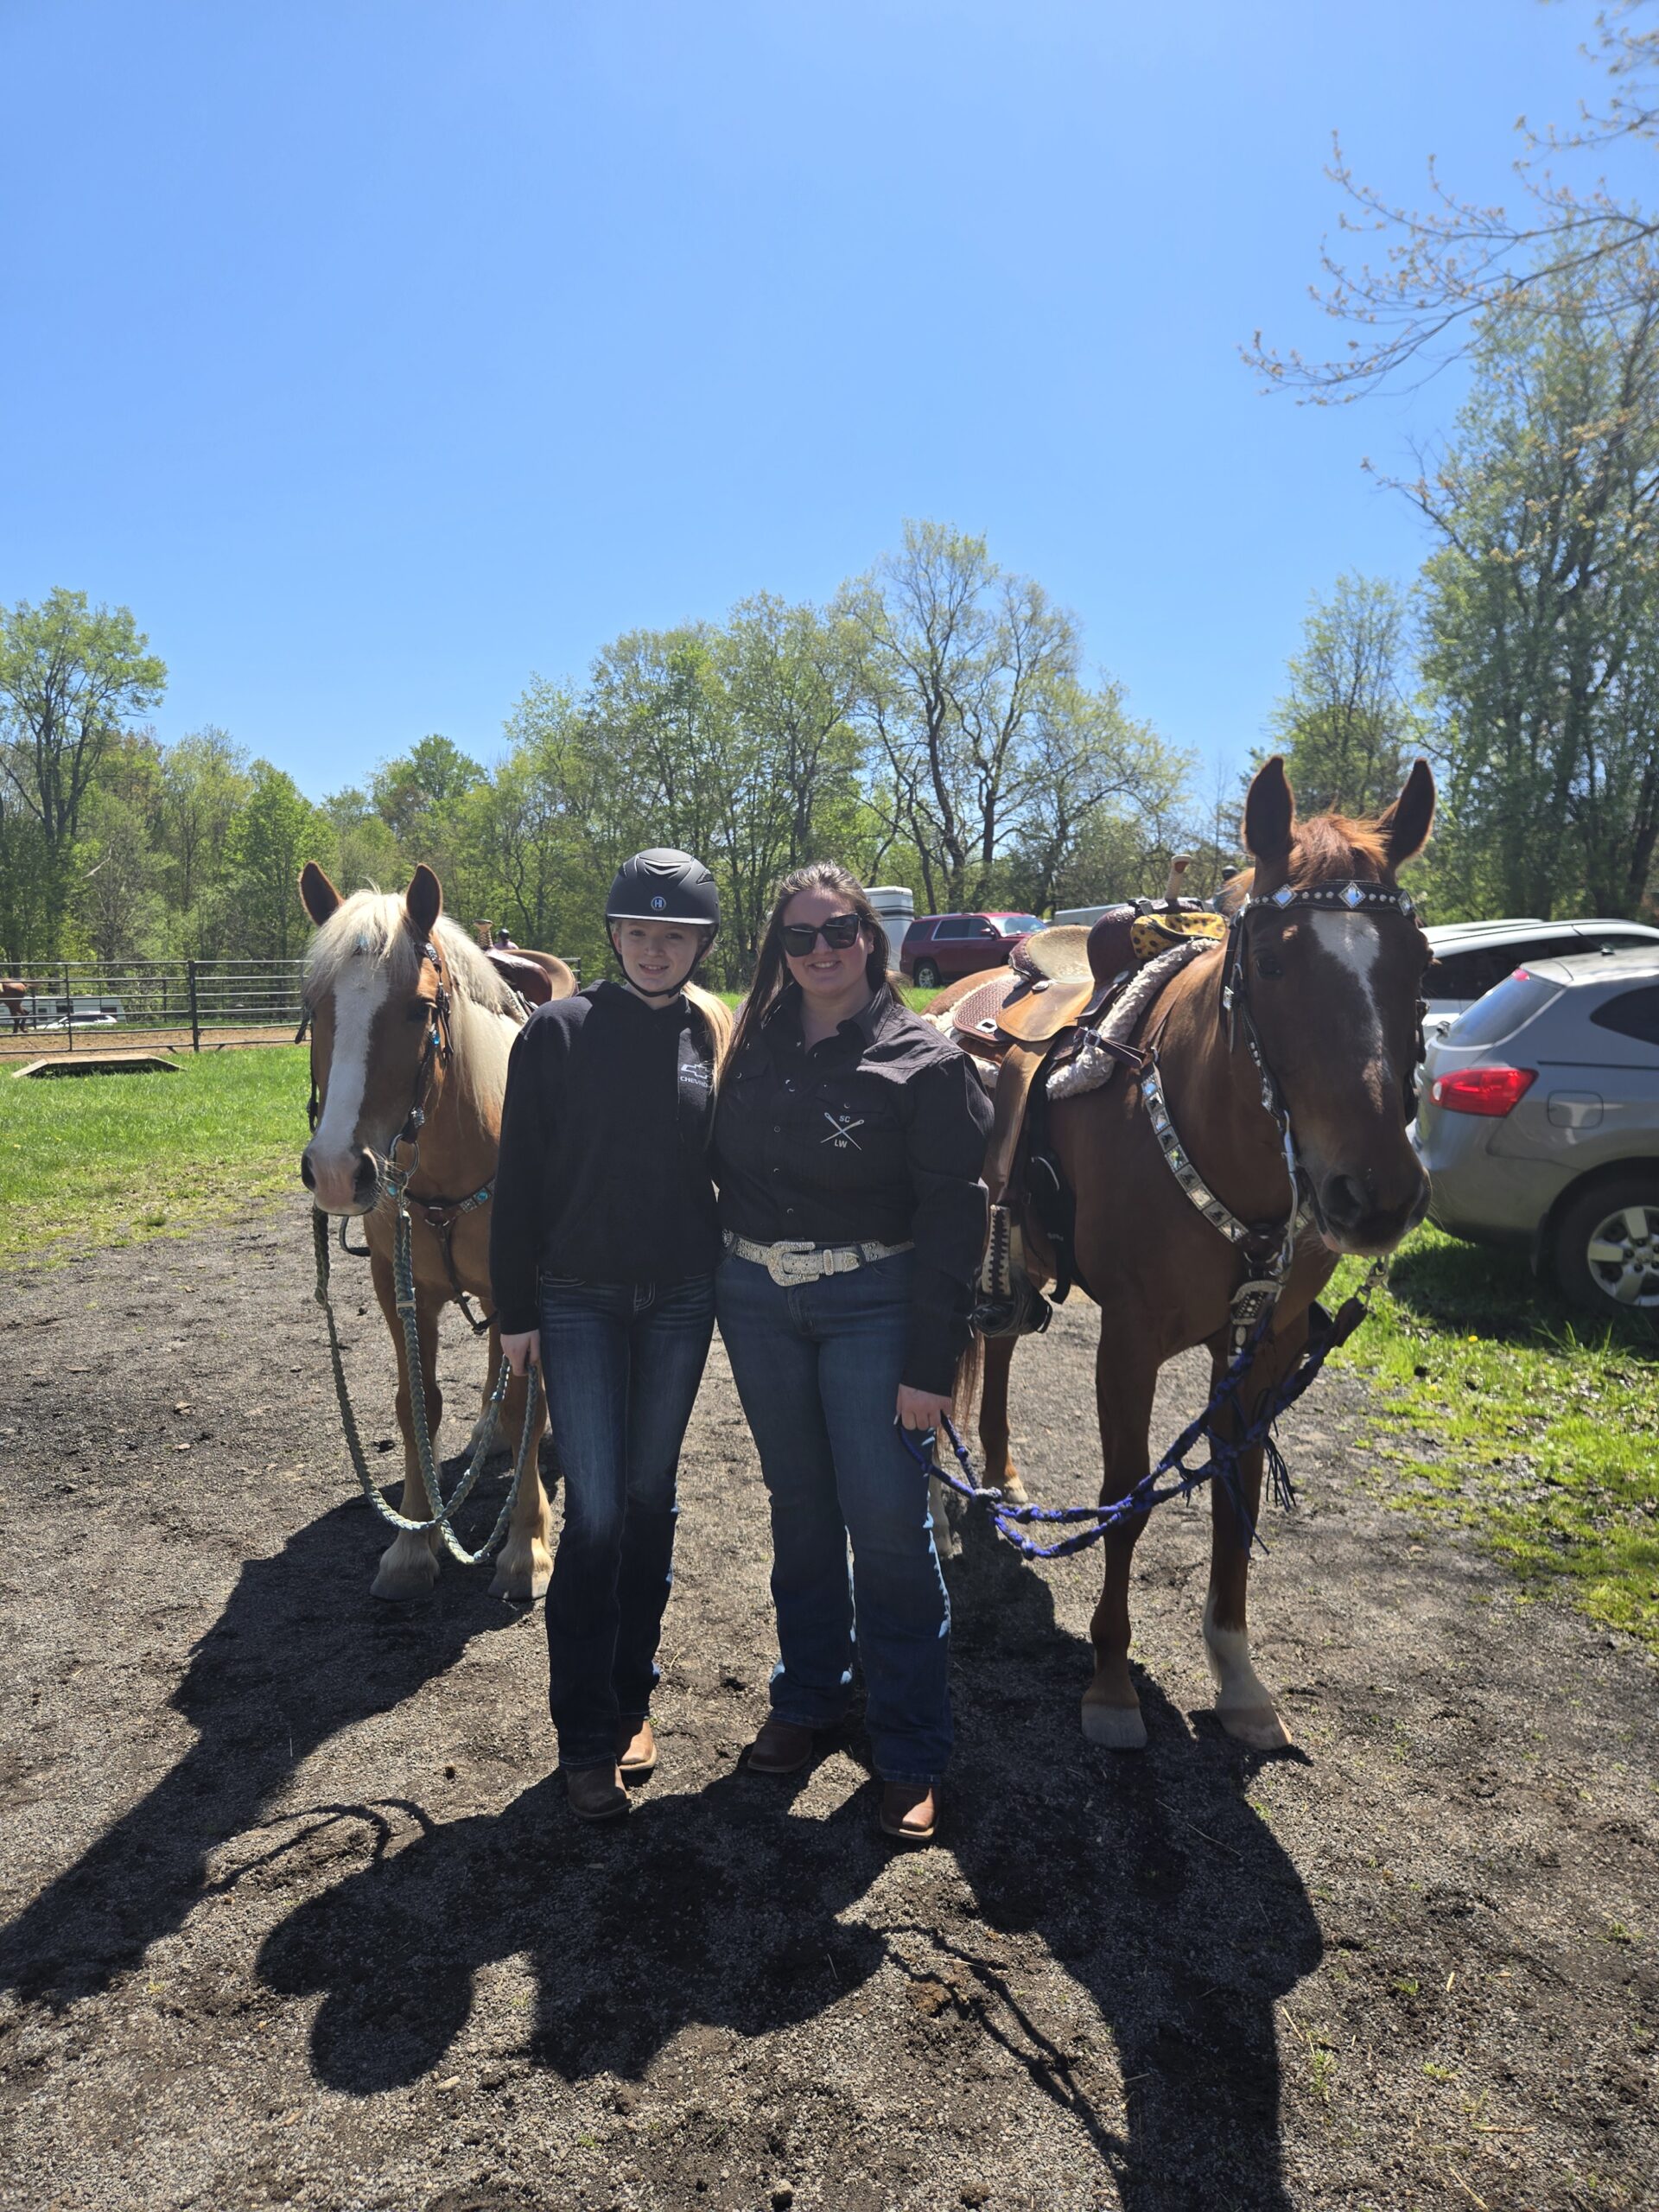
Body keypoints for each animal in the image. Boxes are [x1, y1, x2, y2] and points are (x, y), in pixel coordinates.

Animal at [297, 861, 575, 1603]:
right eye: (313, 1008)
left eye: (422, 1009)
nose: (336, 1170)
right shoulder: (401, 1291)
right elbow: (415, 1404)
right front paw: (411, 1546)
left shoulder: (526, 1287)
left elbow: (528, 1401)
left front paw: (524, 1547)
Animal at [969, 756, 1435, 1752]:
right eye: (1273, 961)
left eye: (1423, 965)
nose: (1376, 1192)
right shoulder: (1129, 1341)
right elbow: (1126, 1498)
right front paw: (1110, 1683)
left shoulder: (1263, 1348)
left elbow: (1237, 1492)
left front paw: (1237, 1675)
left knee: (1001, 1348)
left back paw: (1000, 1474)